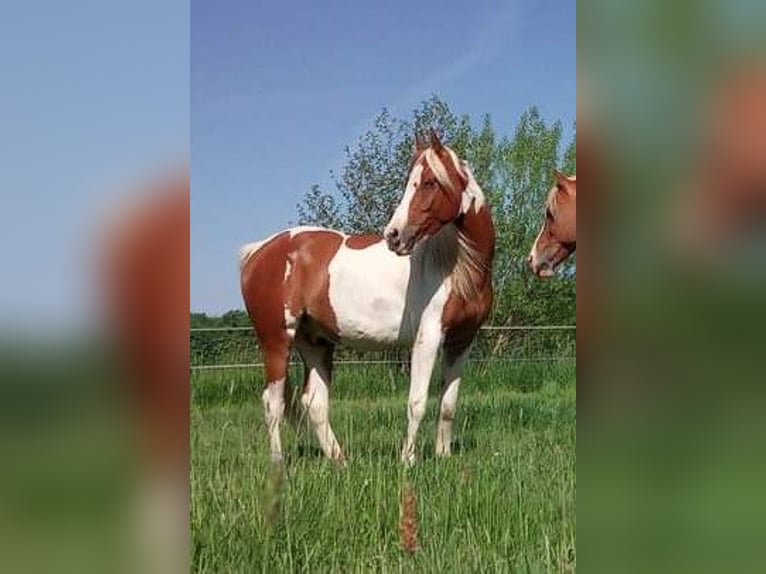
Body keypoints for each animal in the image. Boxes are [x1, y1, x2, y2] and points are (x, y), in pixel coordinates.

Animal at [243, 133, 500, 466]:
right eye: (409, 182)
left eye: (430, 182)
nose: (394, 235)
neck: (455, 267)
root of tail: (258, 251)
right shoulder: (428, 338)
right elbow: (417, 402)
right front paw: (408, 461)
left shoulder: (462, 340)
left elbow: (448, 405)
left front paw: (443, 458)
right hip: (276, 339)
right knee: (272, 403)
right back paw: (279, 463)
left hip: (314, 341)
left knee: (314, 402)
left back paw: (340, 461)